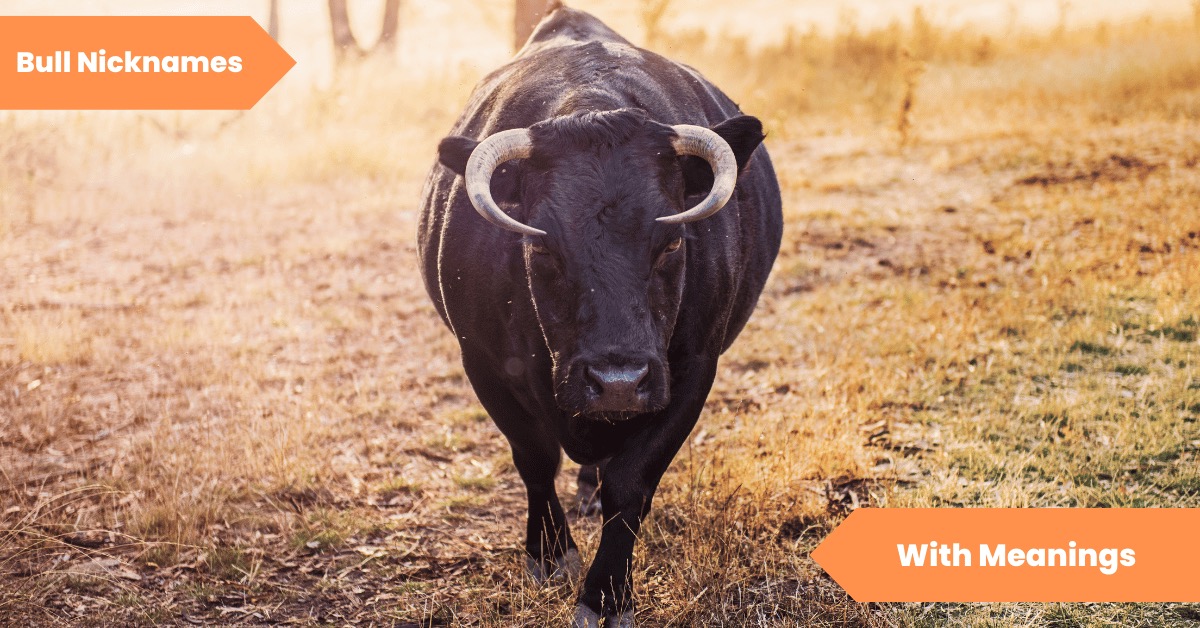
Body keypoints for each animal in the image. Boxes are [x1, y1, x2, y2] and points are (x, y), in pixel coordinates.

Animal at [417, 5, 783, 626]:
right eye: (541, 246)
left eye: (672, 242)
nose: (617, 381)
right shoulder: (484, 363)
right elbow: (534, 457)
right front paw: (550, 554)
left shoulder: (690, 369)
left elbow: (629, 482)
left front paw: (606, 594)